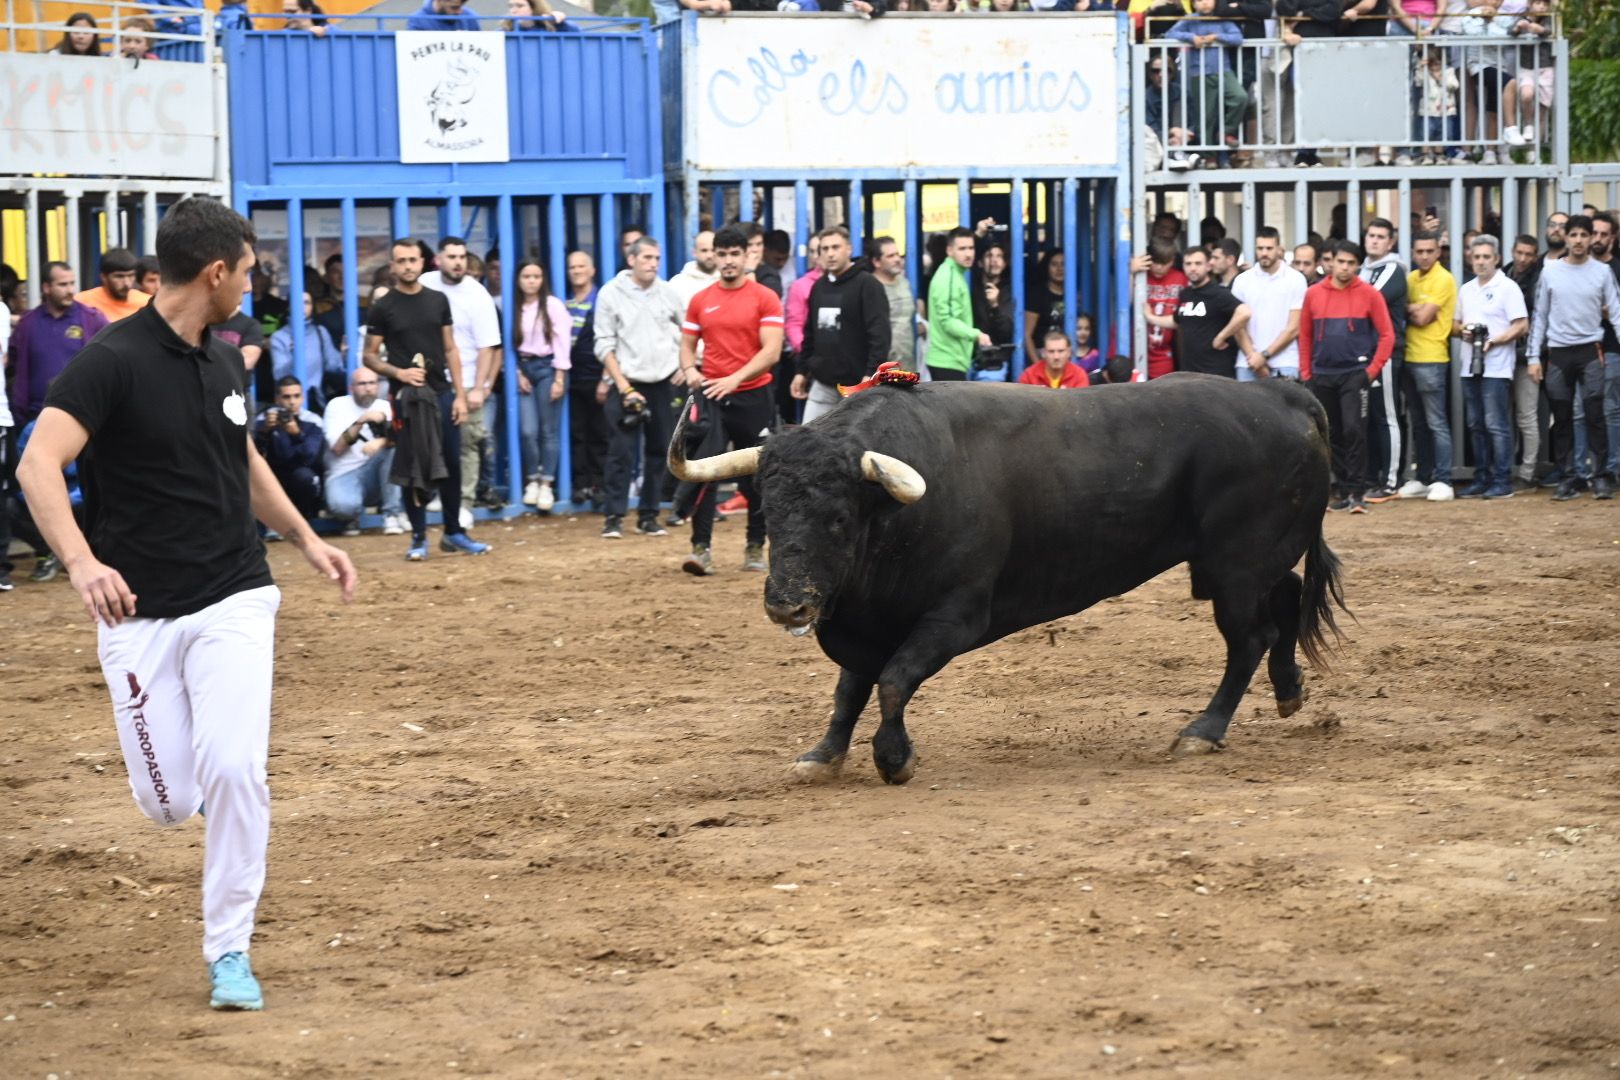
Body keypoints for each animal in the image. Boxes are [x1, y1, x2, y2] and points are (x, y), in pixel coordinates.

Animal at [664, 378, 1347, 786]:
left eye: (838, 517)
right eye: (770, 511)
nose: (788, 605)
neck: (894, 514)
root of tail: (1282, 394)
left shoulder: (955, 617)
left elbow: (892, 680)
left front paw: (894, 758)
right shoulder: (864, 621)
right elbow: (849, 690)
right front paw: (823, 755)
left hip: (1235, 568)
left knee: (1249, 637)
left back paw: (1201, 732)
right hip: (1242, 564)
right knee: (1286, 599)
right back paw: (1289, 691)